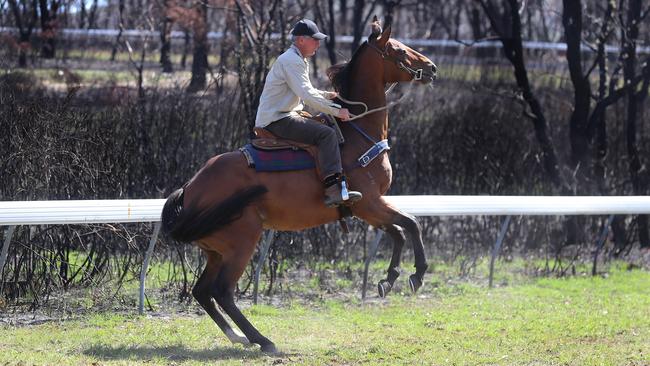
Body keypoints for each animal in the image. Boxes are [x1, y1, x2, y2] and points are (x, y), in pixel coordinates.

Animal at [160, 18, 438, 354]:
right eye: (399, 50)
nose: (432, 67)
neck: (357, 133)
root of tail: (190, 190)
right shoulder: (368, 202)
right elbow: (411, 224)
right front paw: (416, 275)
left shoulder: (368, 208)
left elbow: (398, 230)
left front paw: (389, 278)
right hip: (242, 242)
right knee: (223, 291)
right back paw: (263, 340)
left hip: (216, 250)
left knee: (202, 291)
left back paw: (238, 336)